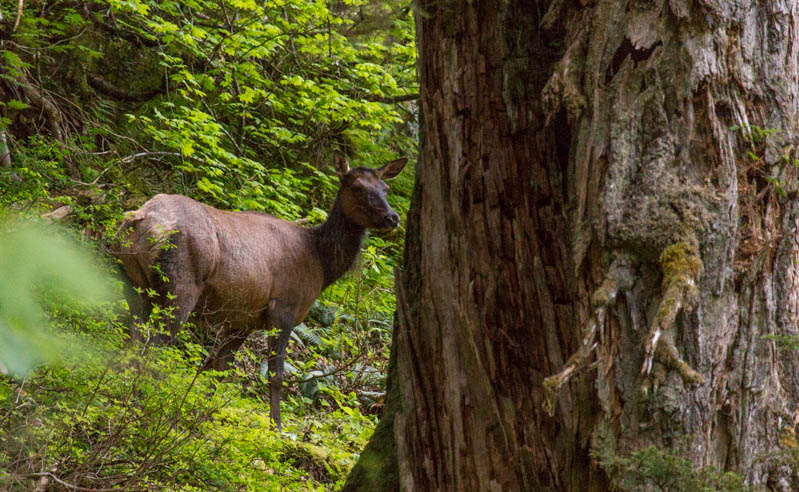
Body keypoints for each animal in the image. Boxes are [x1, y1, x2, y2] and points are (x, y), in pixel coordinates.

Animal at [114, 153, 406, 430]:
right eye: (357, 187)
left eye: (385, 188)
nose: (393, 218)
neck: (321, 265)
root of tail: (141, 220)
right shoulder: (283, 309)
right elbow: (276, 376)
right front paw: (276, 427)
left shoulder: (243, 319)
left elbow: (219, 365)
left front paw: (203, 412)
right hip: (180, 288)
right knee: (155, 345)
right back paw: (145, 403)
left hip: (134, 283)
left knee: (130, 334)